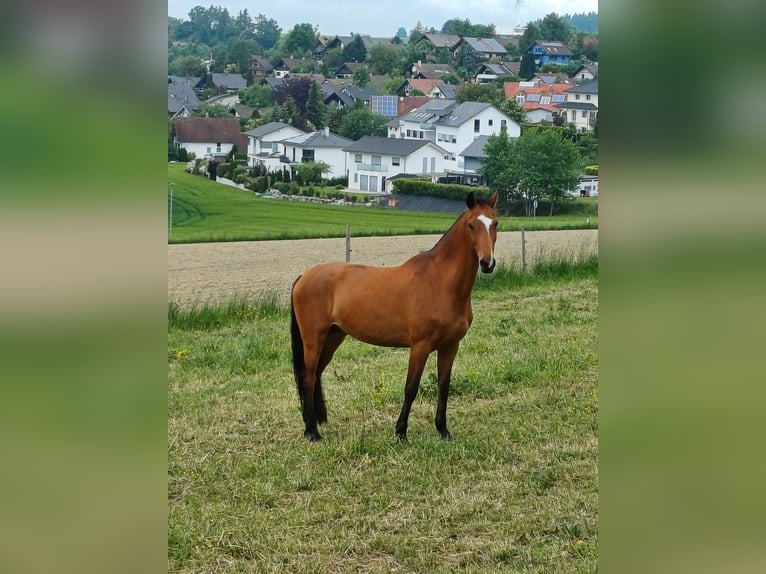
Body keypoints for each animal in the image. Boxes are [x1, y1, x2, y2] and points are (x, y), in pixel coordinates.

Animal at [290, 191, 499, 442]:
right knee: (308, 377)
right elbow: (411, 388)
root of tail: (304, 276)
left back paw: (312, 425)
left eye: (495, 223)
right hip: (314, 339)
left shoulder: (450, 346)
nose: (488, 263)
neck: (439, 282)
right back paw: (312, 432)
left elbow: (444, 386)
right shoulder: (420, 346)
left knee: (316, 375)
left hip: (333, 337)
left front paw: (443, 430)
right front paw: (400, 432)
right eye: (471, 225)